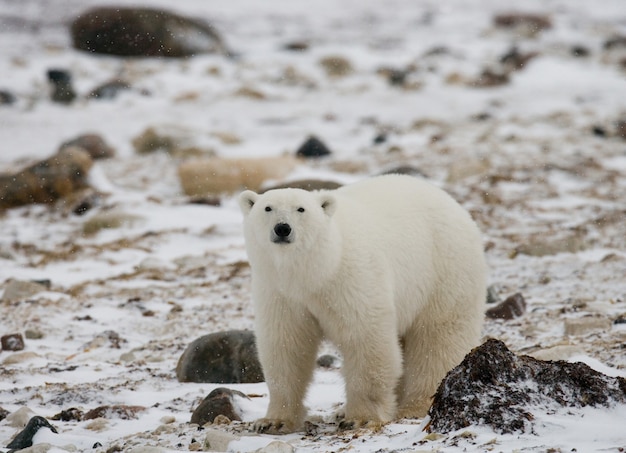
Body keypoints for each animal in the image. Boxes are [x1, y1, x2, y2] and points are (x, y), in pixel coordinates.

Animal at [236, 174, 486, 434]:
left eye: (301, 209)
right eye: (268, 208)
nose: (282, 228)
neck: (318, 271)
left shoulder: (351, 277)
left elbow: (365, 337)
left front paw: (360, 418)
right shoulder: (281, 293)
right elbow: (286, 345)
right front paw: (272, 421)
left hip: (444, 270)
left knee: (437, 339)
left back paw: (415, 405)